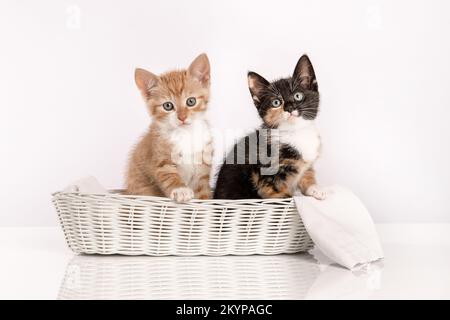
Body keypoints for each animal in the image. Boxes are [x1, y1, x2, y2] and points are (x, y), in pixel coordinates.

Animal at [125, 53, 213, 201]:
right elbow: (168, 174)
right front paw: (181, 190)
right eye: (168, 106)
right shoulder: (160, 157)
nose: (182, 117)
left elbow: (203, 191)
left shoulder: (202, 167)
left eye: (191, 101)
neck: (185, 133)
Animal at [213, 55, 326, 200]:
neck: (294, 132)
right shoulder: (265, 174)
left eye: (298, 96)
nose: (289, 108)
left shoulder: (307, 163)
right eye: (276, 102)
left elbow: (307, 173)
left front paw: (315, 189)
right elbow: (277, 193)